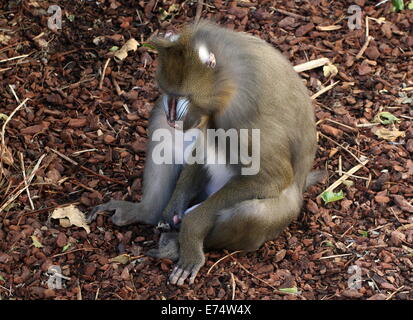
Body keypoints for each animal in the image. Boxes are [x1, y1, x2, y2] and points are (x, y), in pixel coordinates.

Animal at [89, 20, 316, 284]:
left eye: (182, 97)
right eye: (168, 93)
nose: (172, 116)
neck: (226, 79)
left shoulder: (245, 117)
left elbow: (270, 178)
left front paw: (189, 231)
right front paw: (172, 210)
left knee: (253, 212)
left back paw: (176, 244)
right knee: (162, 127)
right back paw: (147, 212)